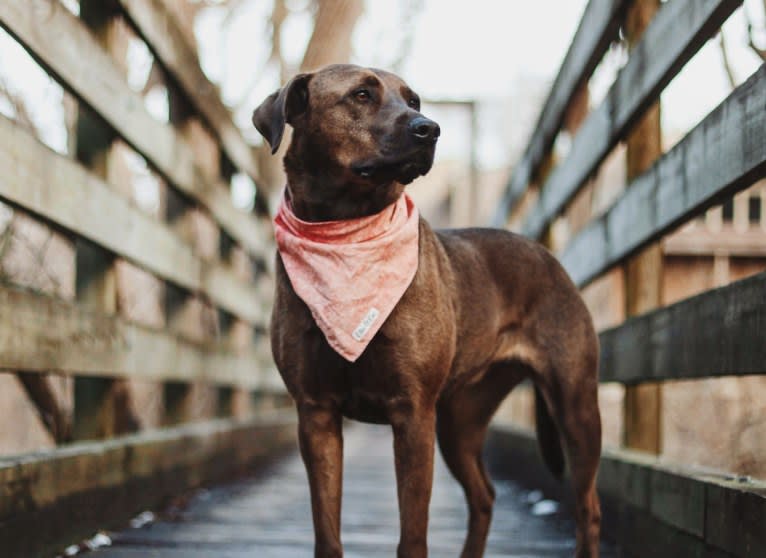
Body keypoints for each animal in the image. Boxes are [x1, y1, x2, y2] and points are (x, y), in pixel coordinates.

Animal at [255, 65, 604, 558]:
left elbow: (413, 534)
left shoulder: (413, 413)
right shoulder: (316, 414)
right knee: (484, 495)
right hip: (461, 420)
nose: (431, 129)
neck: (347, 231)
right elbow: (327, 532)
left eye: (414, 101)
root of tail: (548, 257)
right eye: (361, 95)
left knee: (587, 507)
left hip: (575, 405)